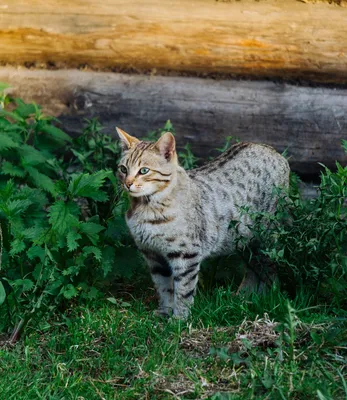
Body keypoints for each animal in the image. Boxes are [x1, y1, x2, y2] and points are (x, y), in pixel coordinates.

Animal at [116, 128, 290, 318]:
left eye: (144, 170)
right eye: (123, 169)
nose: (127, 183)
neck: (145, 207)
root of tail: (271, 150)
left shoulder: (186, 254)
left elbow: (183, 289)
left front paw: (180, 318)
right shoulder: (153, 256)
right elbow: (163, 287)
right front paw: (165, 312)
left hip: (265, 238)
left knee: (270, 269)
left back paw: (270, 296)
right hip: (243, 240)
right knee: (253, 269)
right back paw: (244, 297)